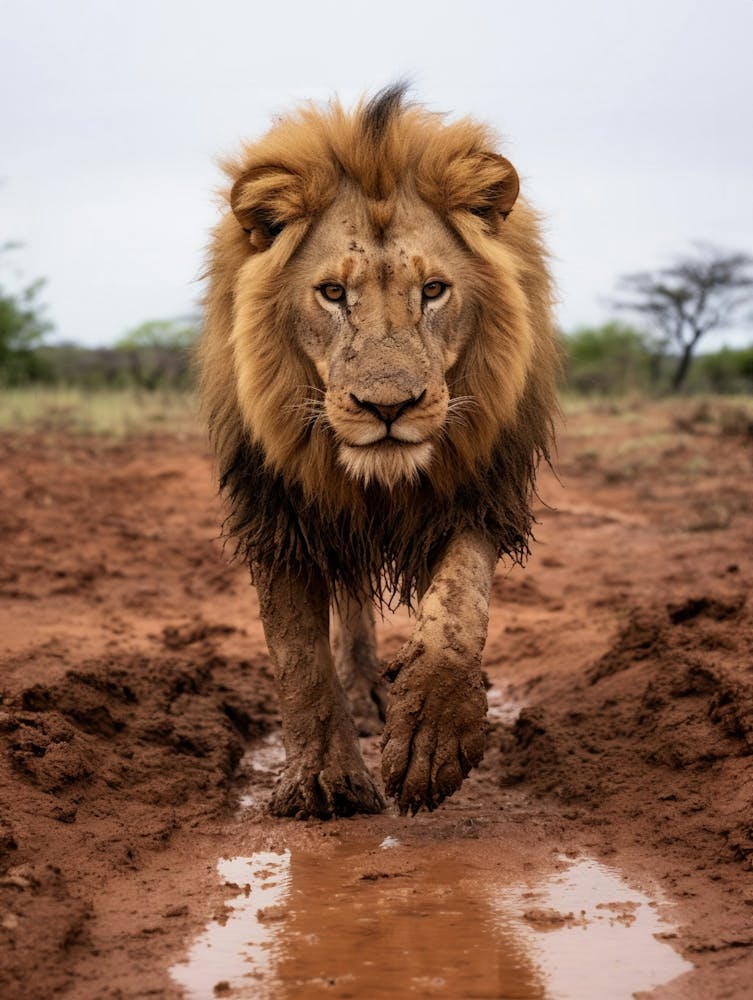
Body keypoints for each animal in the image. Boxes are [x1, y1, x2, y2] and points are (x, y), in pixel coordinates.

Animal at [199, 84, 559, 818]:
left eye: (433, 291)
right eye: (333, 293)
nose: (387, 408)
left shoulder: (479, 491)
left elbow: (457, 607)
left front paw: (429, 734)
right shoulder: (277, 509)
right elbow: (299, 657)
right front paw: (322, 781)